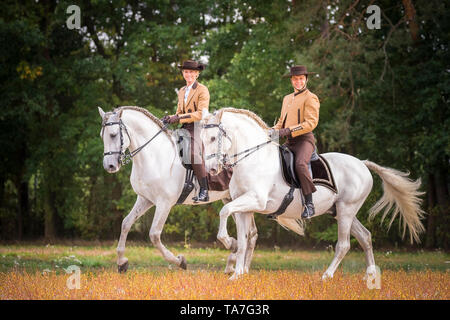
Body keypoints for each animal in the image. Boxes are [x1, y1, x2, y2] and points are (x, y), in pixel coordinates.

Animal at [200, 108, 426, 280]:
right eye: (202, 140)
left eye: (213, 138)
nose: (210, 170)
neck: (252, 158)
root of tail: (361, 164)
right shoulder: (244, 207)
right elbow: (243, 238)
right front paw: (236, 273)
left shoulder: (254, 200)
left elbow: (224, 212)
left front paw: (228, 243)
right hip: (341, 212)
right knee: (365, 237)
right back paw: (369, 275)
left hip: (346, 210)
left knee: (343, 245)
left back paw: (327, 276)